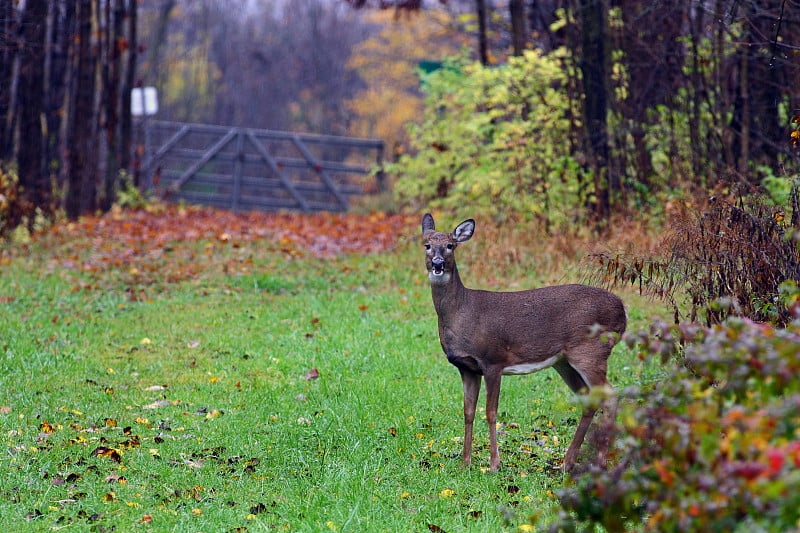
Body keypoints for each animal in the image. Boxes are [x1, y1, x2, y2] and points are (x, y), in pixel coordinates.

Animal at [422, 212, 628, 470]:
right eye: (427, 245)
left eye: (450, 245)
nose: (438, 263)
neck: (462, 313)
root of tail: (623, 312)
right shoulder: (467, 367)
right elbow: (468, 412)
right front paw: (465, 463)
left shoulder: (493, 360)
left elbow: (491, 412)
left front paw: (494, 464)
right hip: (564, 361)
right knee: (590, 400)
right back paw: (567, 462)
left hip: (591, 351)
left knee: (611, 396)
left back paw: (599, 462)